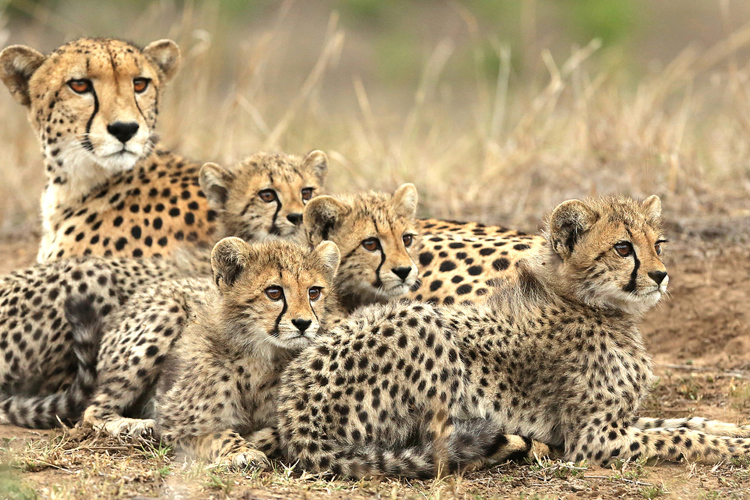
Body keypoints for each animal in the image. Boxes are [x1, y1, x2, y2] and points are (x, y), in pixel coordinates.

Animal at [151, 237, 340, 468]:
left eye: (314, 292)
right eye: (274, 292)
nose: (303, 323)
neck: (261, 356)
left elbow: (280, 433)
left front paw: (254, 441)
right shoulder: (172, 424)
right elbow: (217, 434)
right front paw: (243, 451)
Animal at [270, 194, 750, 478]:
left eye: (659, 244)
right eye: (622, 248)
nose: (661, 275)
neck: (593, 304)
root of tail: (295, 415)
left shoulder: (620, 419)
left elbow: (682, 422)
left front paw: (735, 431)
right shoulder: (593, 438)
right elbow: (680, 438)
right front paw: (734, 449)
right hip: (424, 322)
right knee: (438, 445)